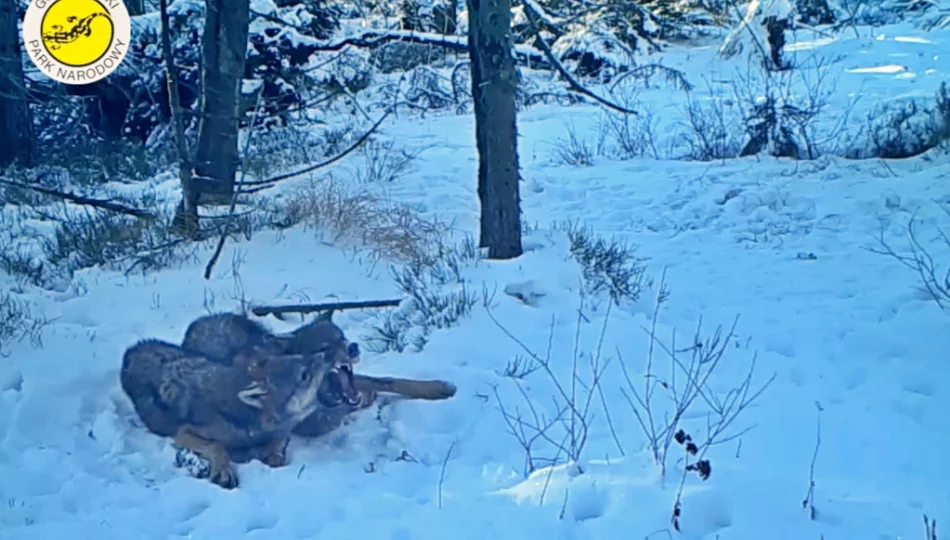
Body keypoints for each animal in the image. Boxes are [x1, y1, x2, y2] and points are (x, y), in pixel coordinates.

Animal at [120, 340, 334, 488]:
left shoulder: (281, 432)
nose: (325, 354)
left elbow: (277, 444)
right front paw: (223, 471)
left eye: (300, 356)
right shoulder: (183, 433)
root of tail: (134, 349)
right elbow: (217, 445)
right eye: (304, 375)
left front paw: (273, 456)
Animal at [183, 312, 462, 438]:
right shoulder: (315, 423)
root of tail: (198, 322)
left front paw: (438, 388)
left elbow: (391, 380)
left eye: (343, 338)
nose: (353, 347)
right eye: (325, 348)